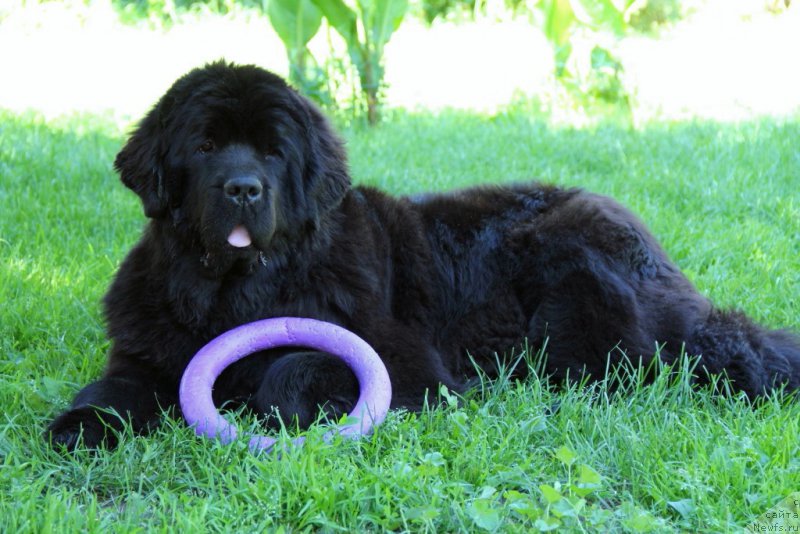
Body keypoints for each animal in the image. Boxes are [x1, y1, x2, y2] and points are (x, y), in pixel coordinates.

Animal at [47, 60, 800, 450]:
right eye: (204, 146)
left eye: (272, 152)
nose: (242, 187)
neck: (236, 294)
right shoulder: (146, 349)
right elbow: (117, 387)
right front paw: (80, 425)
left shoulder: (406, 361)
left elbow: (292, 366)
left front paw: (270, 407)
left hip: (575, 286)